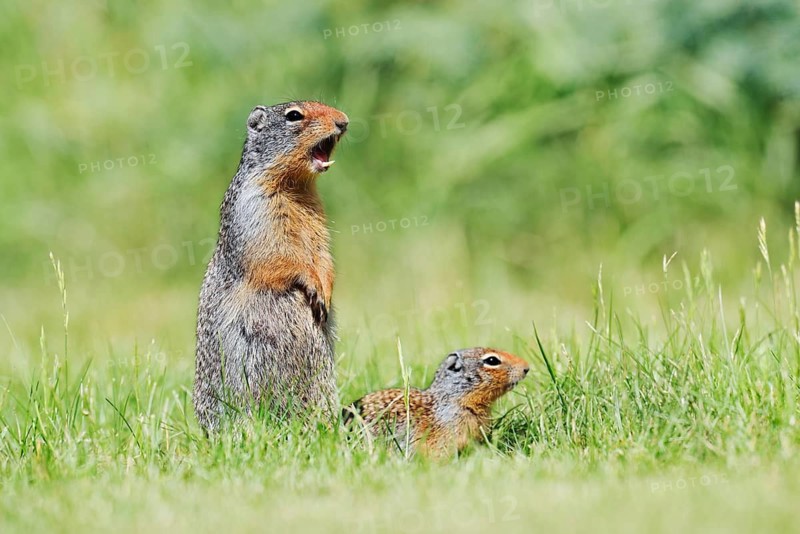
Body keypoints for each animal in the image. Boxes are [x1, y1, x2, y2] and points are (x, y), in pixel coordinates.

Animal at [193, 101, 349, 431]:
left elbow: (323, 255)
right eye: (294, 115)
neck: (296, 187)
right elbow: (278, 257)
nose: (344, 121)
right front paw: (314, 288)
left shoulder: (318, 221)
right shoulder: (258, 210)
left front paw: (326, 293)